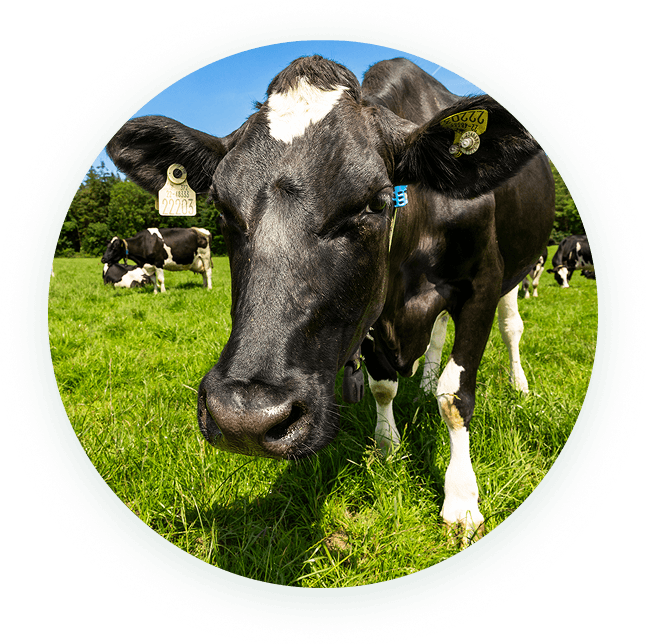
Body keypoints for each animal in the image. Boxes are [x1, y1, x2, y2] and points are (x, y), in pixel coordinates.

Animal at [106, 56, 555, 543]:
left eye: (376, 202)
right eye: (222, 208)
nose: (244, 417)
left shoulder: (480, 285)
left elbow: (454, 398)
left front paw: (461, 501)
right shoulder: (372, 310)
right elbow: (382, 385)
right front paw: (387, 446)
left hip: (515, 271)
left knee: (511, 328)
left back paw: (518, 384)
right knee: (436, 336)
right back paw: (425, 375)